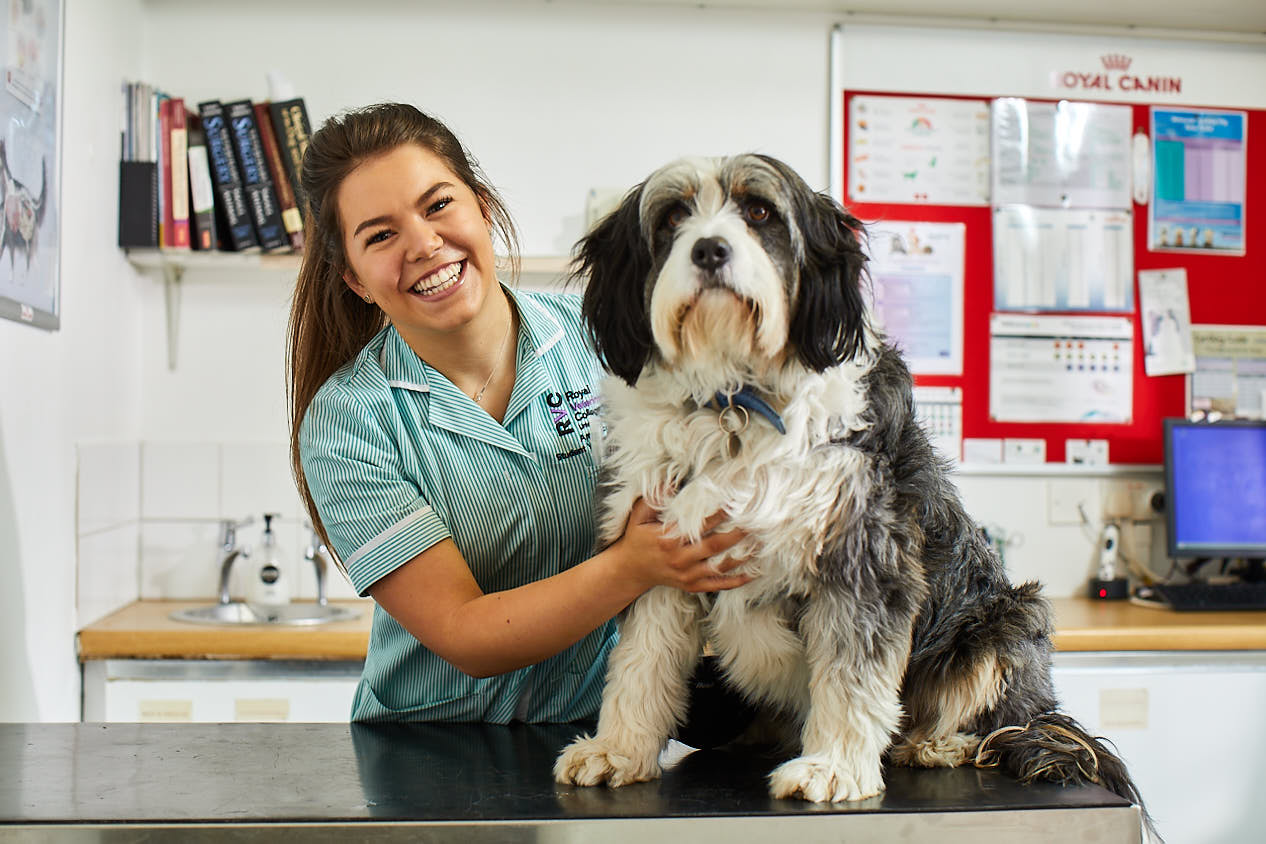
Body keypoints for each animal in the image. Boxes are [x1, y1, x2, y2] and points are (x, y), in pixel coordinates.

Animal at [551, 153, 1149, 825]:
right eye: (674, 216)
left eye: (759, 211)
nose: (709, 250)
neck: (736, 403)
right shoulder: (661, 556)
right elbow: (640, 663)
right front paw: (618, 749)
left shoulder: (864, 560)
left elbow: (850, 676)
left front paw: (833, 767)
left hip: (1005, 621)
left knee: (1005, 722)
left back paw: (938, 743)